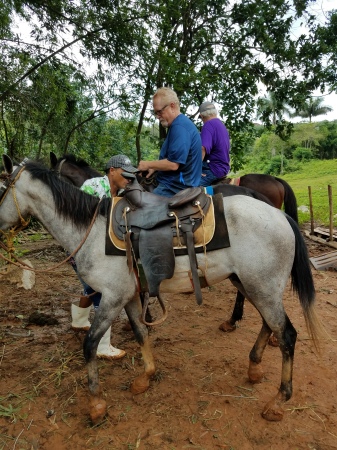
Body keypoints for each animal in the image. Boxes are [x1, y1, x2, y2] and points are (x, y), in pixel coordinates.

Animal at [0, 156, 320, 424]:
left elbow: (90, 345)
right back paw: (254, 367)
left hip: (262, 287)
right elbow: (141, 332)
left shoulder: (111, 298)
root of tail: (279, 216)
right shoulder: (128, 296)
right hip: (251, 284)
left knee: (287, 334)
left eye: (2, 186)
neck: (92, 232)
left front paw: (96, 405)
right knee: (270, 324)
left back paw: (278, 402)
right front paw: (146, 377)